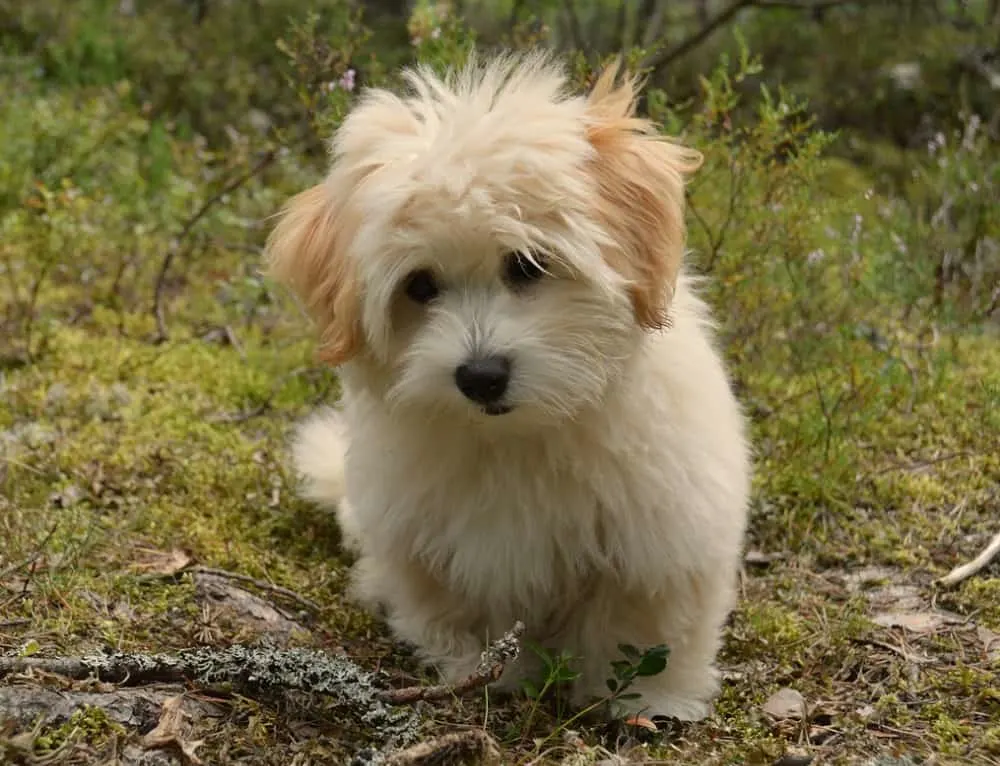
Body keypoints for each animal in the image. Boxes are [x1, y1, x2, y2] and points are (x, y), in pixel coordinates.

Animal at [266, 51, 752, 724]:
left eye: (527, 265)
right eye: (419, 286)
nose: (480, 375)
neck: (525, 434)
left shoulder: (659, 537)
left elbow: (643, 624)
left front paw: (648, 700)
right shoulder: (434, 542)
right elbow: (460, 613)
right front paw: (479, 673)